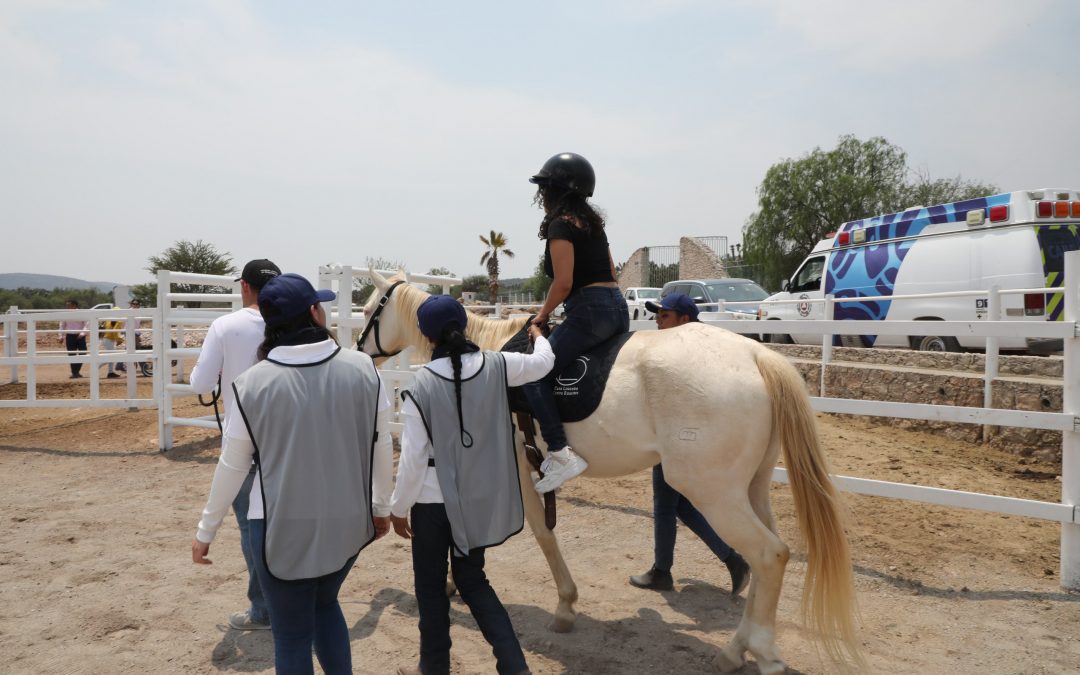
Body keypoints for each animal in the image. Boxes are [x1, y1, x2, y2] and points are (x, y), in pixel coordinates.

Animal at [360, 270, 859, 673]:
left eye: (368, 310)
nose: (360, 351)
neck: (477, 357)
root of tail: (757, 357)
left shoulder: (512, 470)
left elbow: (537, 532)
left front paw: (563, 605)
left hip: (713, 492)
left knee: (769, 555)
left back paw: (762, 653)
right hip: (749, 489)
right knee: (767, 556)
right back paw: (738, 648)